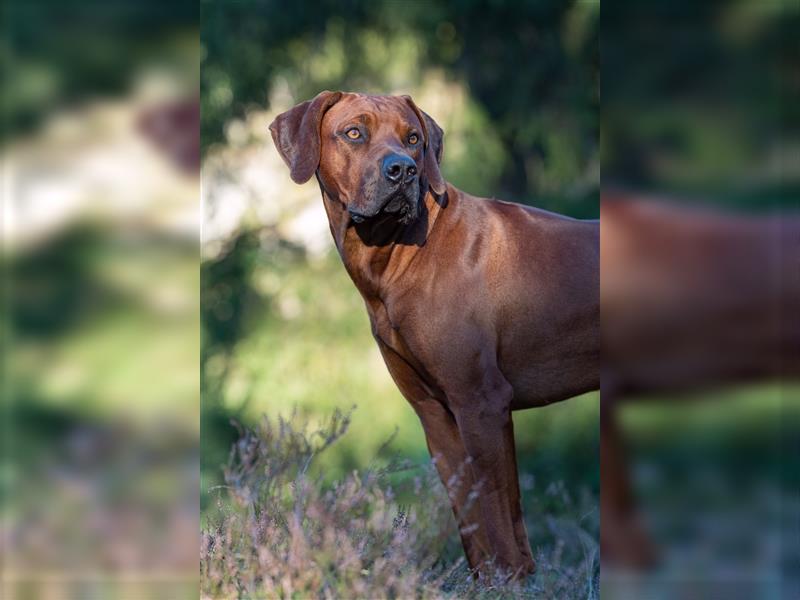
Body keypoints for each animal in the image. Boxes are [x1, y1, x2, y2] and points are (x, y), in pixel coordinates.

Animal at [272, 90, 596, 576]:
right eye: (354, 132)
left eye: (413, 139)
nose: (403, 169)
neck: (398, 255)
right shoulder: (433, 411)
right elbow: (470, 517)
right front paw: (489, 582)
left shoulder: (481, 402)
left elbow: (498, 512)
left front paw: (512, 580)